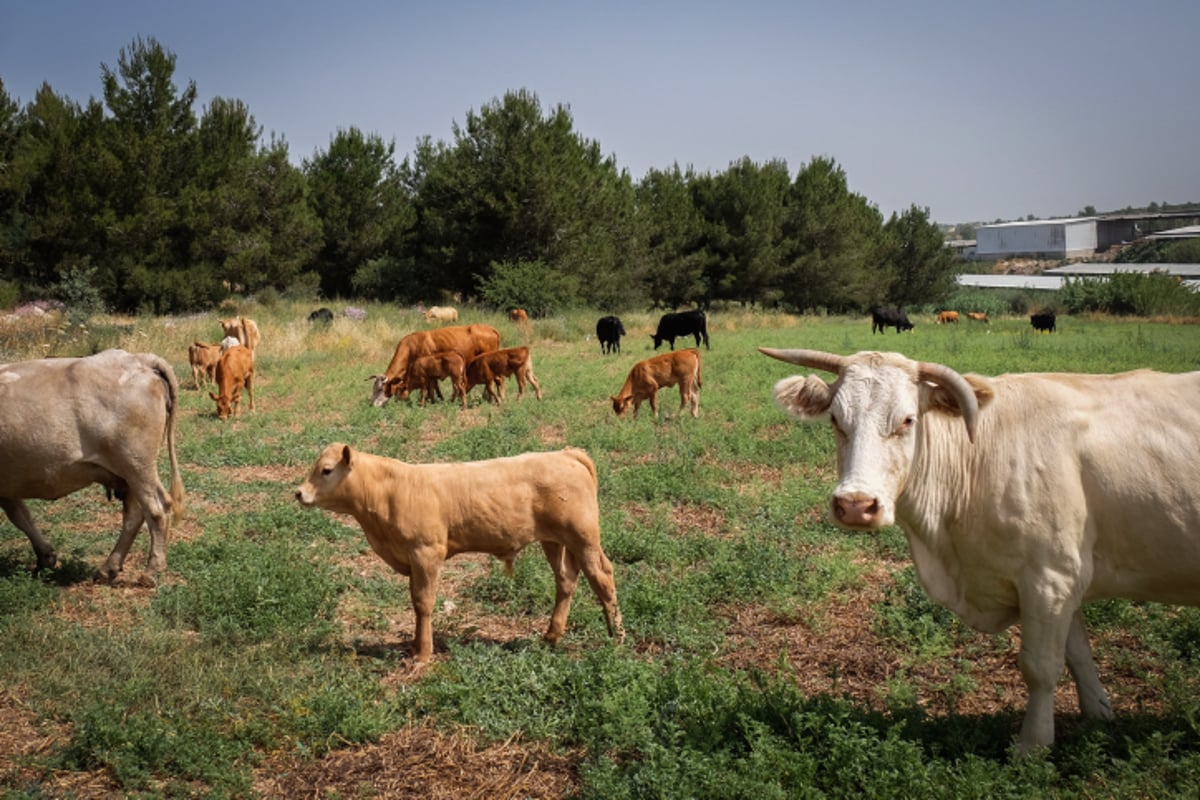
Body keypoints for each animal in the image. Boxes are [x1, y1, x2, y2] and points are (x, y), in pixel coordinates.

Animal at [0, 347, 184, 582]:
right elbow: (21, 515)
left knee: (157, 509)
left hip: (137, 465)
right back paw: (109, 568)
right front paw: (45, 557)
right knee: (134, 515)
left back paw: (152, 570)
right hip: (129, 472)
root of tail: (138, 358)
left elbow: (19, 515)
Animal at [294, 443, 624, 662]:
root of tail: (565, 453)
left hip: (584, 538)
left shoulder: (426, 553)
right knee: (566, 580)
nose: (299, 492)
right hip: (554, 541)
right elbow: (415, 602)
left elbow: (423, 603)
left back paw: (617, 636)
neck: (392, 491)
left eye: (326, 470)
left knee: (602, 578)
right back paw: (552, 635)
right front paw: (416, 645)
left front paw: (423, 654)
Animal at [364, 323, 496, 407]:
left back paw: (487, 398)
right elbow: (433, 385)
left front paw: (431, 399)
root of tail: (491, 328)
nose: (372, 404)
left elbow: (430, 386)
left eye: (380, 389)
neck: (412, 346)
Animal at [758, 347, 1200, 753]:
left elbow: (1040, 667)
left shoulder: (1049, 579)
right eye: (836, 419)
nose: (855, 504)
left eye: (907, 420)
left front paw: (1032, 746)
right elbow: (1078, 656)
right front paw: (1098, 716)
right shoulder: (1066, 578)